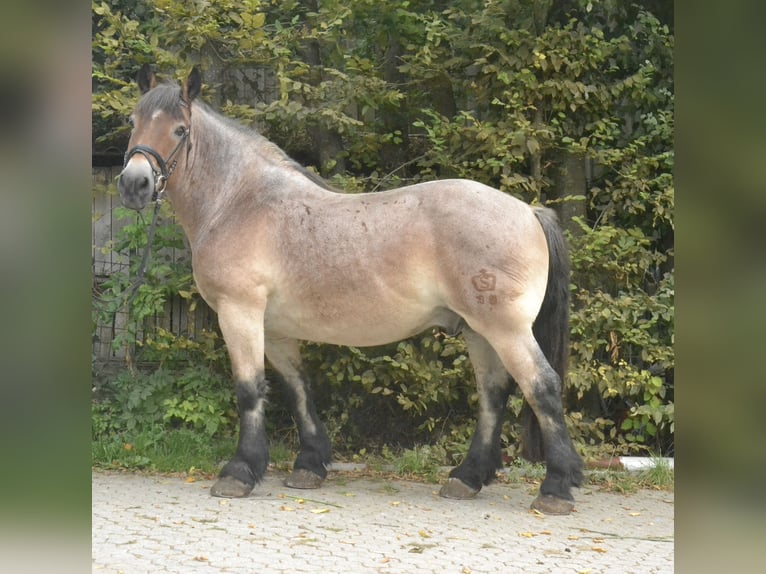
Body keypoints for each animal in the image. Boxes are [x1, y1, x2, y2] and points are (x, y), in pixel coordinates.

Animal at [117, 65, 584, 516]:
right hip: (477, 330)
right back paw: (466, 478)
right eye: (133, 121)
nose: (134, 184)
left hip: (506, 329)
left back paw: (556, 488)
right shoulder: (276, 327)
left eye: (180, 130)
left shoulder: (239, 312)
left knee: (542, 387)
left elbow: (249, 389)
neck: (240, 202)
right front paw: (309, 465)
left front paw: (240, 472)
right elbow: (297, 389)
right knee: (493, 394)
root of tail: (529, 210)